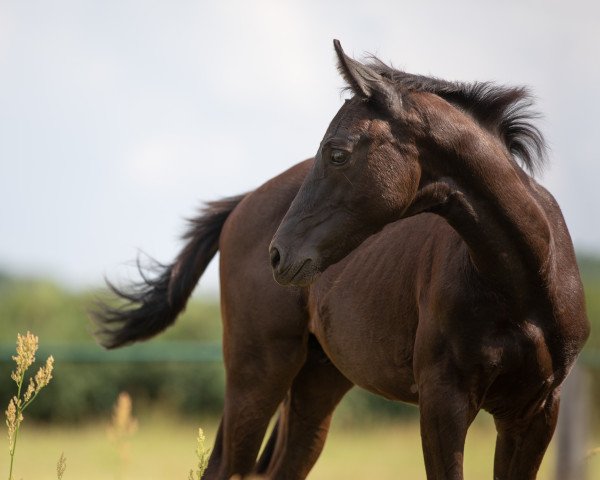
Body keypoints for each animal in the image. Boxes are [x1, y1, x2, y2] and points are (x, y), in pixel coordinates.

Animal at [95, 42, 592, 480]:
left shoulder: (535, 411)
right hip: (257, 372)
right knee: (224, 466)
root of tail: (242, 203)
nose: (279, 254)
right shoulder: (443, 402)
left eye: (337, 152)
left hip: (317, 383)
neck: (522, 285)